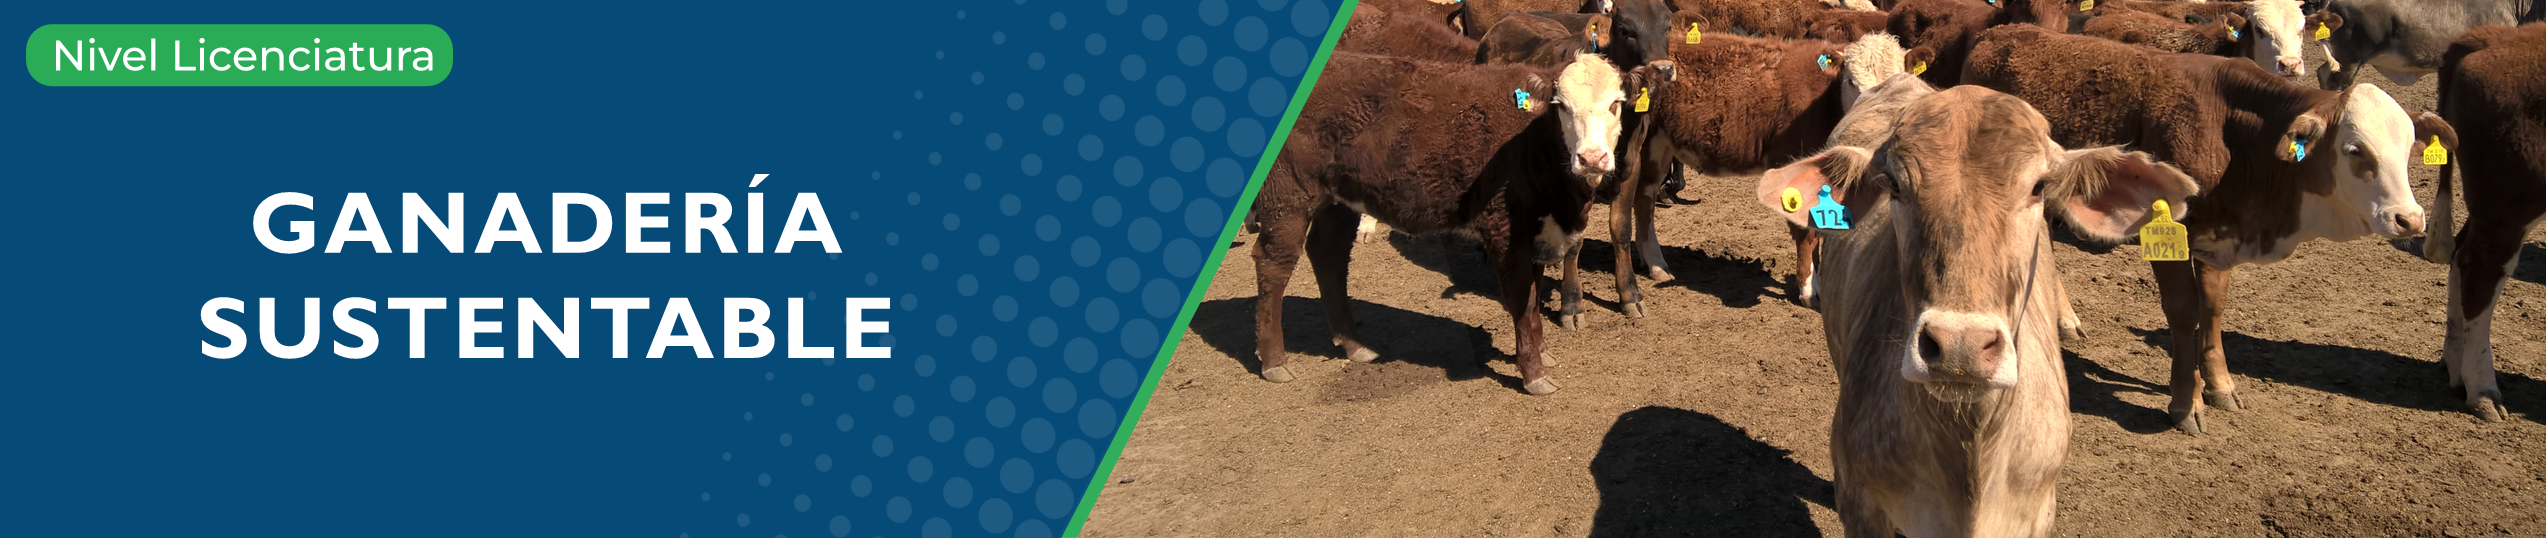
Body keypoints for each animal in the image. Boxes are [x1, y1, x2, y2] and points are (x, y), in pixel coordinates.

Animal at [1249, 52, 1644, 395]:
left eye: (1616, 103)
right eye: (1561, 106)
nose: (1591, 158)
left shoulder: (1537, 233)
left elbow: (1533, 302)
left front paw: (1541, 353)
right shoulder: (1506, 232)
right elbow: (1522, 299)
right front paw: (1534, 374)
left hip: (1339, 197)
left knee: (1328, 254)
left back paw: (1354, 345)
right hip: (1288, 196)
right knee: (1273, 263)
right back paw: (1274, 361)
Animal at [1964, 24, 2460, 433]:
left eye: (2410, 147)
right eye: (2355, 150)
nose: (2409, 218)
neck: (2230, 131)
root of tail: (1997, 34)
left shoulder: (2220, 234)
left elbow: (2213, 308)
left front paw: (2220, 385)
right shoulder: (2168, 234)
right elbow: (2184, 311)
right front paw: (2186, 403)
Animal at [2419, 23, 2540, 422]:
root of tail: (2489, 37)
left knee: (2461, 254)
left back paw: (2455, 370)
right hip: (2508, 206)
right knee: (2480, 270)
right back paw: (2484, 391)